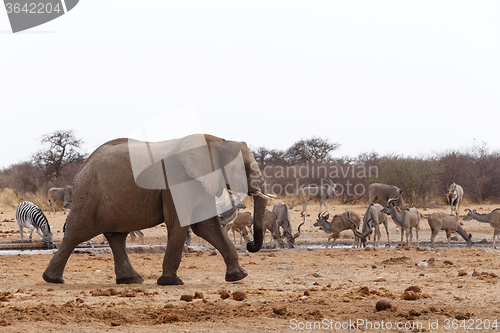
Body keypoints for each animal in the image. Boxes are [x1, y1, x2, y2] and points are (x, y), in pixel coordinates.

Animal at [43, 134, 270, 284]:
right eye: (245, 169)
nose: (250, 244)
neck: (217, 142)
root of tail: (83, 166)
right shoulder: (177, 180)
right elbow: (181, 224)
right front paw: (171, 282)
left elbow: (206, 227)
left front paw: (239, 275)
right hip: (89, 194)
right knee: (76, 234)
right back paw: (52, 280)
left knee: (116, 237)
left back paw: (132, 280)